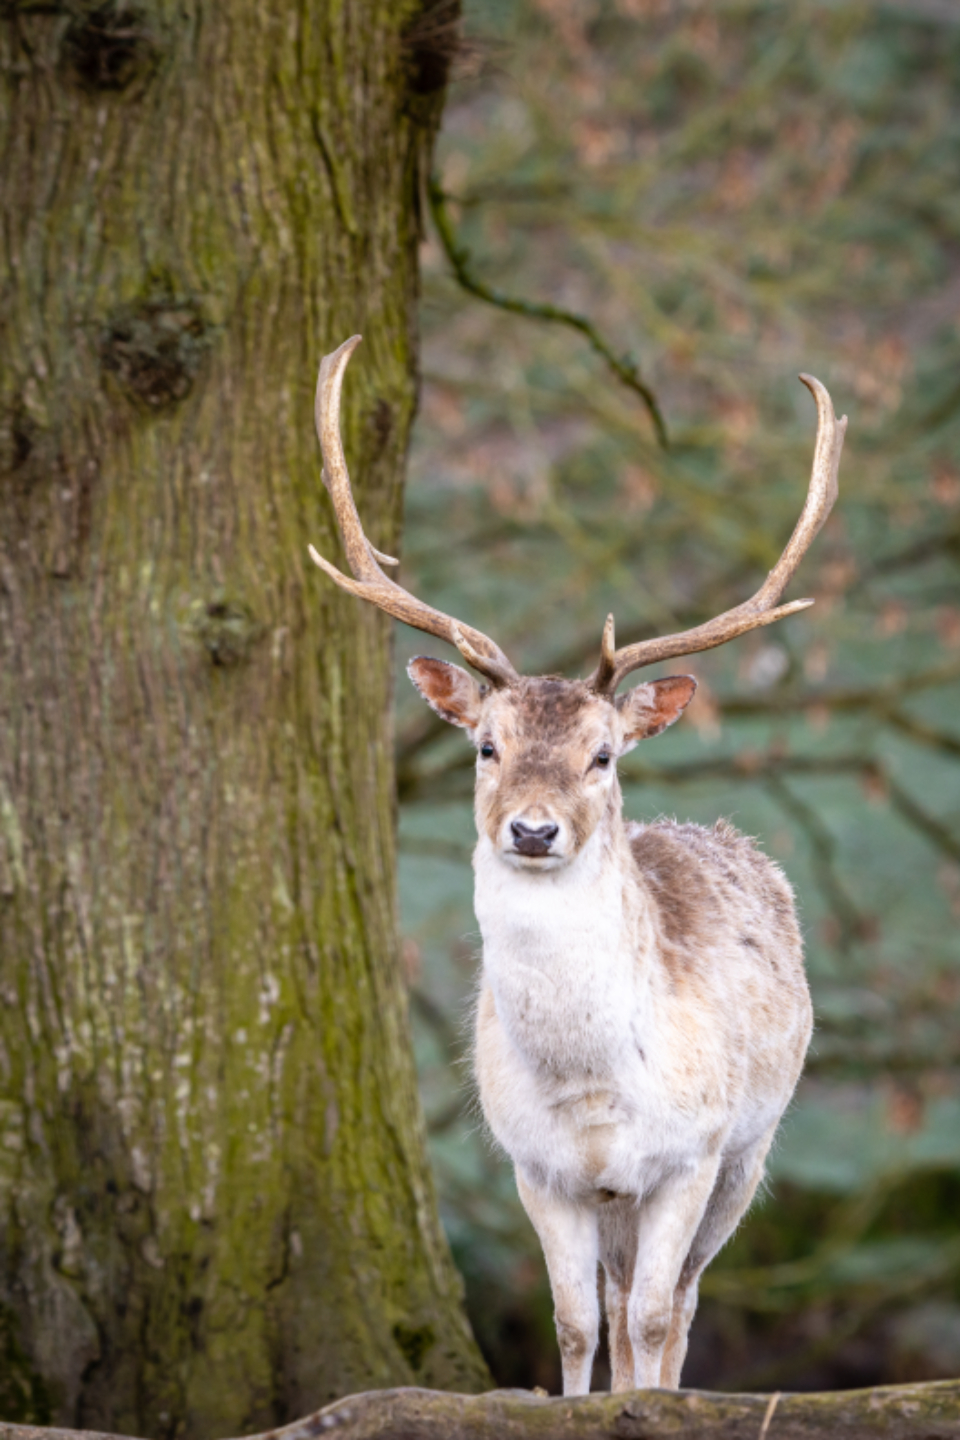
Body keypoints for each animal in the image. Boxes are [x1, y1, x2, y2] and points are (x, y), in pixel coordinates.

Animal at [308, 335, 846, 1396]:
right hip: (619, 1197)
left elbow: (653, 1318)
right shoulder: (539, 1166)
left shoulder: (691, 1151)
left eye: (602, 755)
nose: (532, 830)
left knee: (678, 1301)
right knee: (619, 1295)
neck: (593, 1086)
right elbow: (571, 1323)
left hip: (753, 1151)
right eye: (486, 745)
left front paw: (645, 1407)